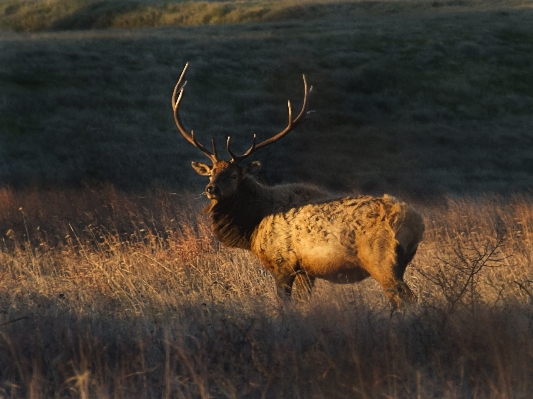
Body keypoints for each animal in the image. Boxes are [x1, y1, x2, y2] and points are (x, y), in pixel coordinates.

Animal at [171, 64, 424, 310]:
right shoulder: (305, 271)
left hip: (382, 261)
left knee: (407, 300)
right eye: (211, 173)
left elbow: (285, 306)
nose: (211, 189)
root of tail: (418, 224)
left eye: (233, 175)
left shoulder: (282, 264)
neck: (253, 227)